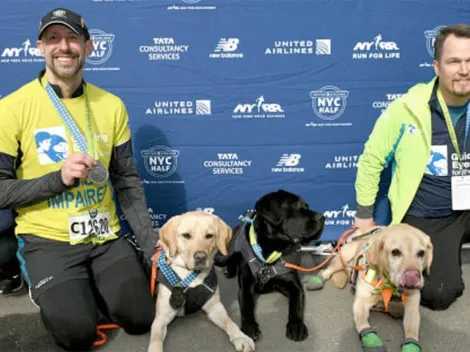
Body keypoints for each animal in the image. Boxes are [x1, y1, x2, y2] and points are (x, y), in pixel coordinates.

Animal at [148, 212, 255, 352]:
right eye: (186, 235)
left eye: (209, 235)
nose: (201, 257)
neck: (192, 277)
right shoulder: (160, 318)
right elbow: (155, 340)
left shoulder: (215, 307)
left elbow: (230, 322)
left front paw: (241, 337)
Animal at [215, 190, 324, 340]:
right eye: (295, 206)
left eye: (306, 206)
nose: (323, 217)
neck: (270, 253)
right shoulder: (246, 285)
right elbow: (246, 306)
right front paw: (249, 327)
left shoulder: (294, 284)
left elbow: (297, 304)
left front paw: (296, 325)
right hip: (224, 254)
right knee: (230, 257)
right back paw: (229, 269)